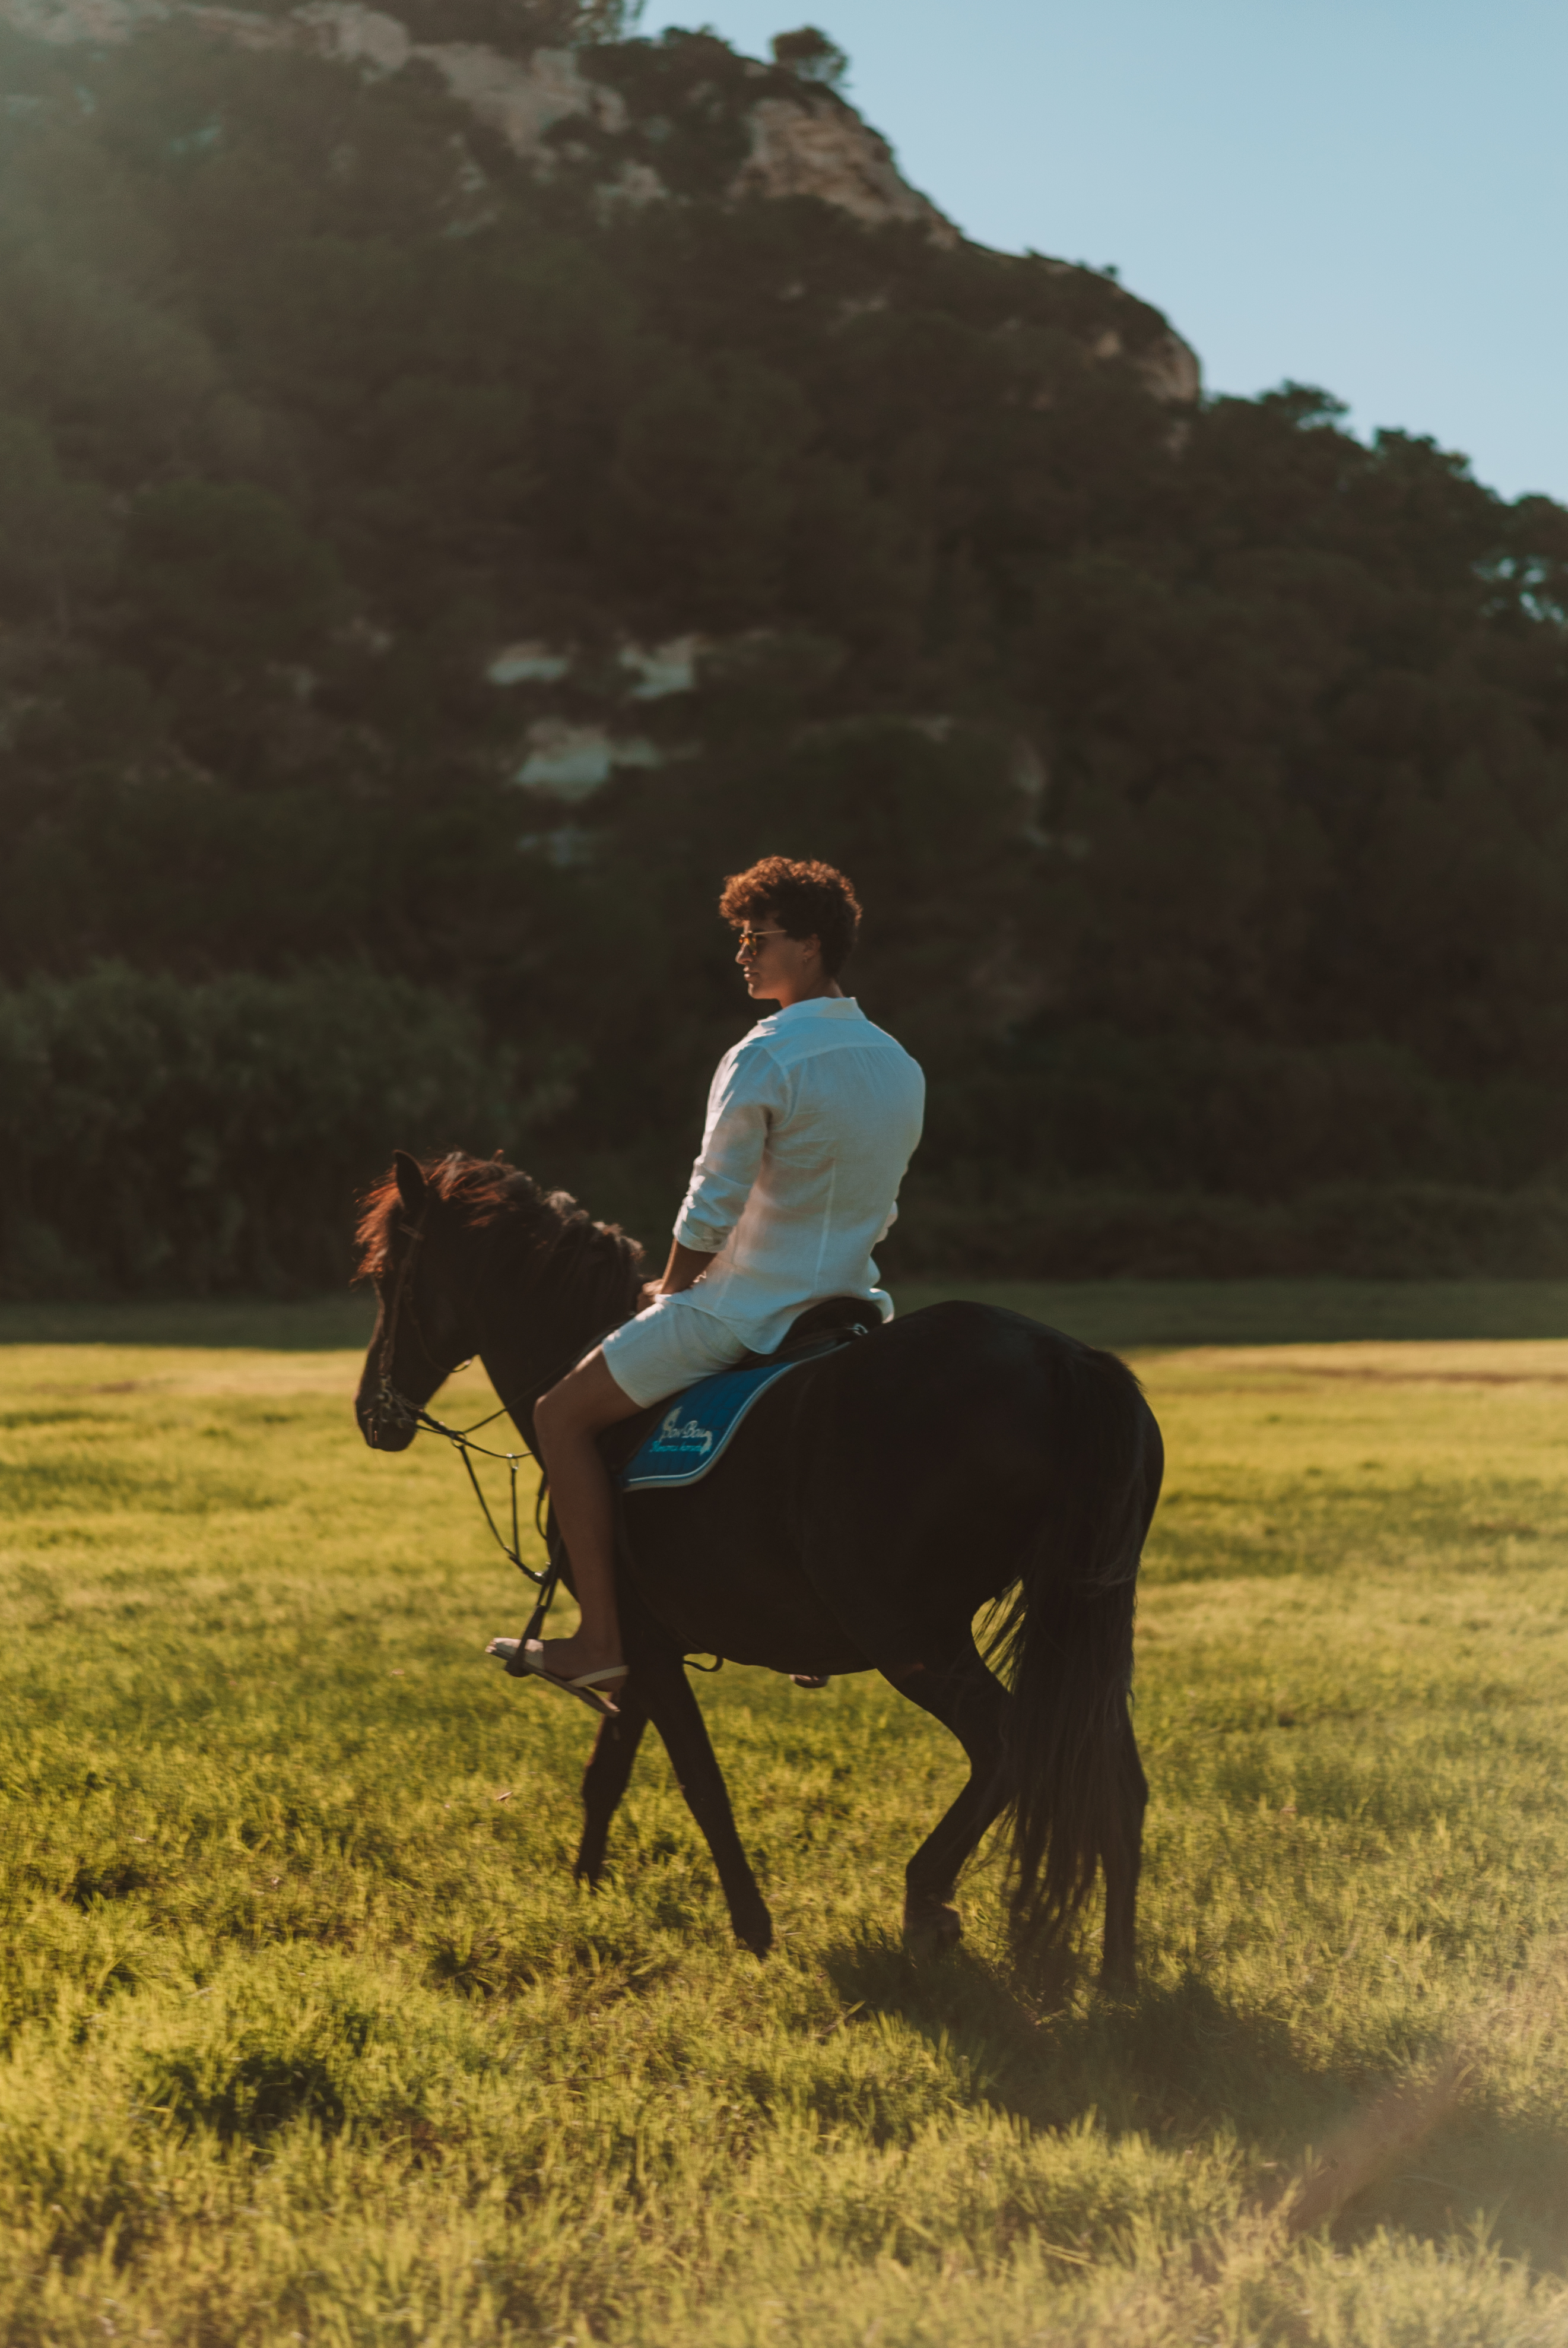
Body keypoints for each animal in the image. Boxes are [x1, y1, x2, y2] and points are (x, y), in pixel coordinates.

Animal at [353, 1149, 1164, 1984]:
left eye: (384, 1277)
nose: (371, 1413)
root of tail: (1062, 1358)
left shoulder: (643, 1642)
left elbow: (700, 1782)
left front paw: (752, 1929)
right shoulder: (643, 1645)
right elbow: (606, 1773)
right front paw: (585, 1890)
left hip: (909, 1634)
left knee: (1010, 1745)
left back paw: (927, 1899)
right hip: (1071, 1622)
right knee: (1112, 1780)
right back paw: (1117, 1978)